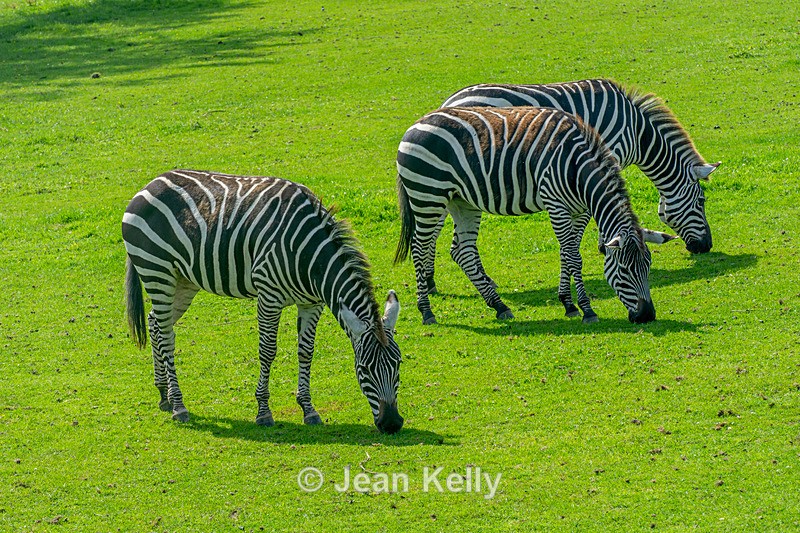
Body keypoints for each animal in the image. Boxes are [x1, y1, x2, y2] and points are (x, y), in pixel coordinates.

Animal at [123, 170, 404, 434]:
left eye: (399, 364)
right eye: (364, 369)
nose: (391, 424)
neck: (309, 257)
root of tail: (151, 183)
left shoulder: (312, 303)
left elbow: (306, 351)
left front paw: (308, 409)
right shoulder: (269, 296)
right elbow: (268, 351)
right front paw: (264, 412)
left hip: (183, 281)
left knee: (156, 324)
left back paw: (164, 394)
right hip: (157, 272)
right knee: (166, 335)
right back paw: (179, 405)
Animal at [395, 106, 671, 325]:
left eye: (648, 266)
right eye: (624, 270)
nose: (647, 316)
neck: (576, 166)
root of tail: (414, 125)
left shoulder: (577, 209)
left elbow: (566, 253)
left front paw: (568, 304)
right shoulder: (555, 204)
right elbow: (574, 257)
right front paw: (587, 309)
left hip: (460, 201)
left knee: (463, 251)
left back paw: (499, 306)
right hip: (428, 195)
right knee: (420, 248)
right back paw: (426, 311)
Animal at [422, 78, 719, 295]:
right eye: (701, 202)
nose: (706, 247)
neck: (636, 131)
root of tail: (449, 100)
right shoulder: (605, 155)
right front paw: (603, 245)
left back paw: (435, 282)